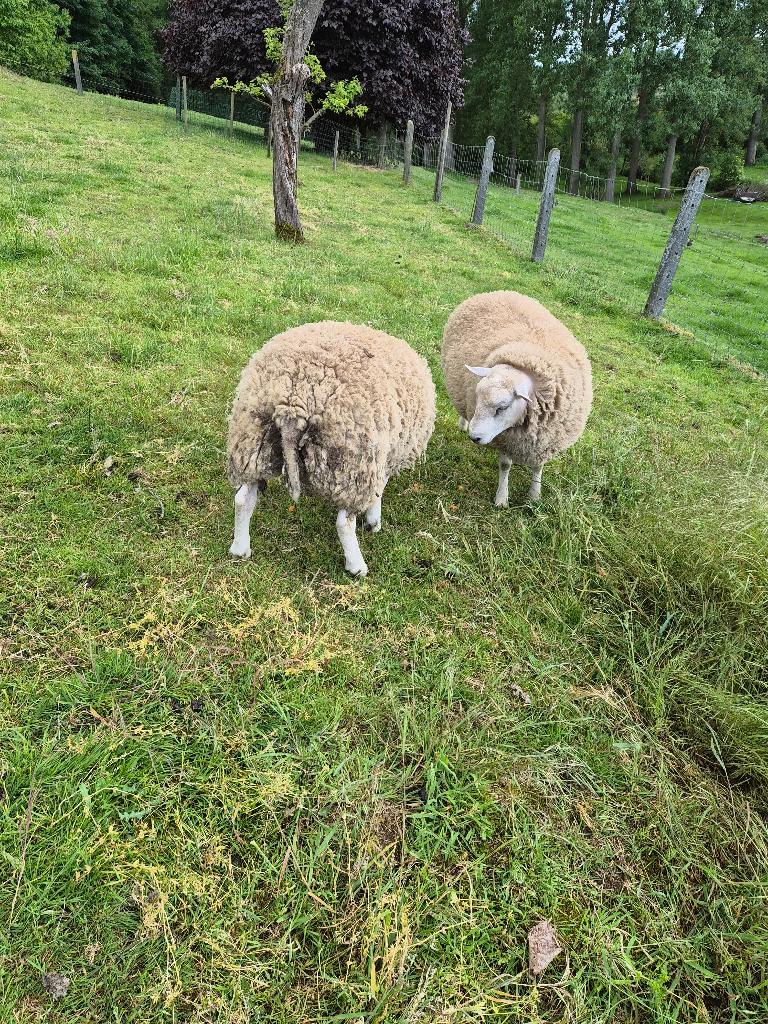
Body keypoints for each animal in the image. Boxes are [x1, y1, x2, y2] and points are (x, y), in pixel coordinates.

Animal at [227, 321, 436, 577]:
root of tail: (292, 403)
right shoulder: (382, 457)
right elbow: (378, 492)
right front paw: (373, 522)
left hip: (252, 446)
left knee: (242, 499)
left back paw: (240, 549)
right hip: (351, 465)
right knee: (344, 523)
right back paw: (356, 567)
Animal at [441, 291, 592, 505]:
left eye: (502, 407)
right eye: (477, 398)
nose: (474, 437)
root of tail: (498, 291)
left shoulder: (544, 442)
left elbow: (538, 467)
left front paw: (534, 496)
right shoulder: (505, 438)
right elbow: (505, 465)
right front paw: (502, 498)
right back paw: (463, 423)